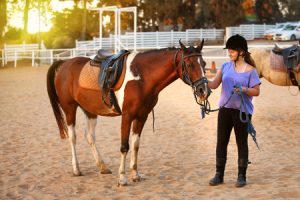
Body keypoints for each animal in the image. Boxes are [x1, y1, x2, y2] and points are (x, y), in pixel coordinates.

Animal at [47, 39, 211, 186]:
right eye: (189, 64)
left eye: (204, 64)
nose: (203, 90)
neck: (142, 77)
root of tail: (64, 63)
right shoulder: (127, 116)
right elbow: (124, 146)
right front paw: (122, 178)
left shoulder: (142, 116)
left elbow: (135, 145)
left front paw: (135, 175)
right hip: (69, 108)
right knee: (73, 137)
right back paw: (76, 169)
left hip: (90, 110)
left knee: (90, 136)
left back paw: (103, 166)